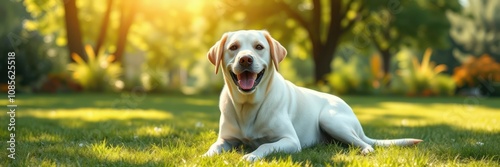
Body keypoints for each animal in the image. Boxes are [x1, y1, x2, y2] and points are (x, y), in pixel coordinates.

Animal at [203, 30, 422, 162]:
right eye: (233, 48)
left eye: (259, 47)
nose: (245, 59)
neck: (248, 105)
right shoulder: (226, 139)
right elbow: (215, 146)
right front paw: (206, 155)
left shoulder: (290, 140)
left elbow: (265, 145)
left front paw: (251, 155)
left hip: (331, 119)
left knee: (364, 143)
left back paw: (365, 150)